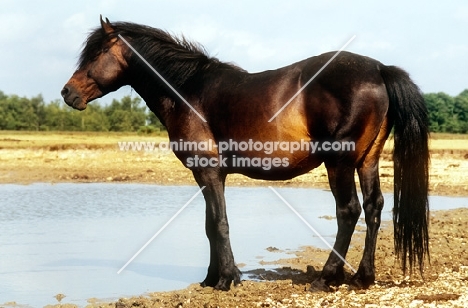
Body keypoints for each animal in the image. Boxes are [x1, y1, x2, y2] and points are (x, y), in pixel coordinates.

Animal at [63, 16, 432, 292]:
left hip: (338, 163)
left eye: (96, 54)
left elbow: (219, 223)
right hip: (367, 160)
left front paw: (226, 279)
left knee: (349, 211)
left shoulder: (208, 171)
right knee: (373, 208)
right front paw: (211, 277)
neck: (189, 91)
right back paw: (361, 278)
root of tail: (379, 69)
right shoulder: (212, 175)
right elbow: (210, 224)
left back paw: (326, 278)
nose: (68, 93)